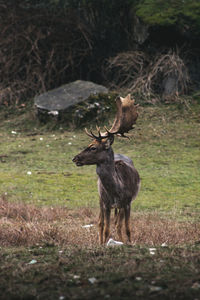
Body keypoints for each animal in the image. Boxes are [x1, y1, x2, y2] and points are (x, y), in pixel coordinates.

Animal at [72, 95, 140, 245]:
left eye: (93, 147)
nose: (75, 158)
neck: (117, 189)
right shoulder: (106, 202)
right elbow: (106, 229)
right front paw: (103, 244)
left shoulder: (127, 202)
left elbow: (128, 228)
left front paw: (130, 243)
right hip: (100, 199)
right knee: (101, 223)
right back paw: (103, 241)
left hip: (120, 206)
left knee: (118, 224)